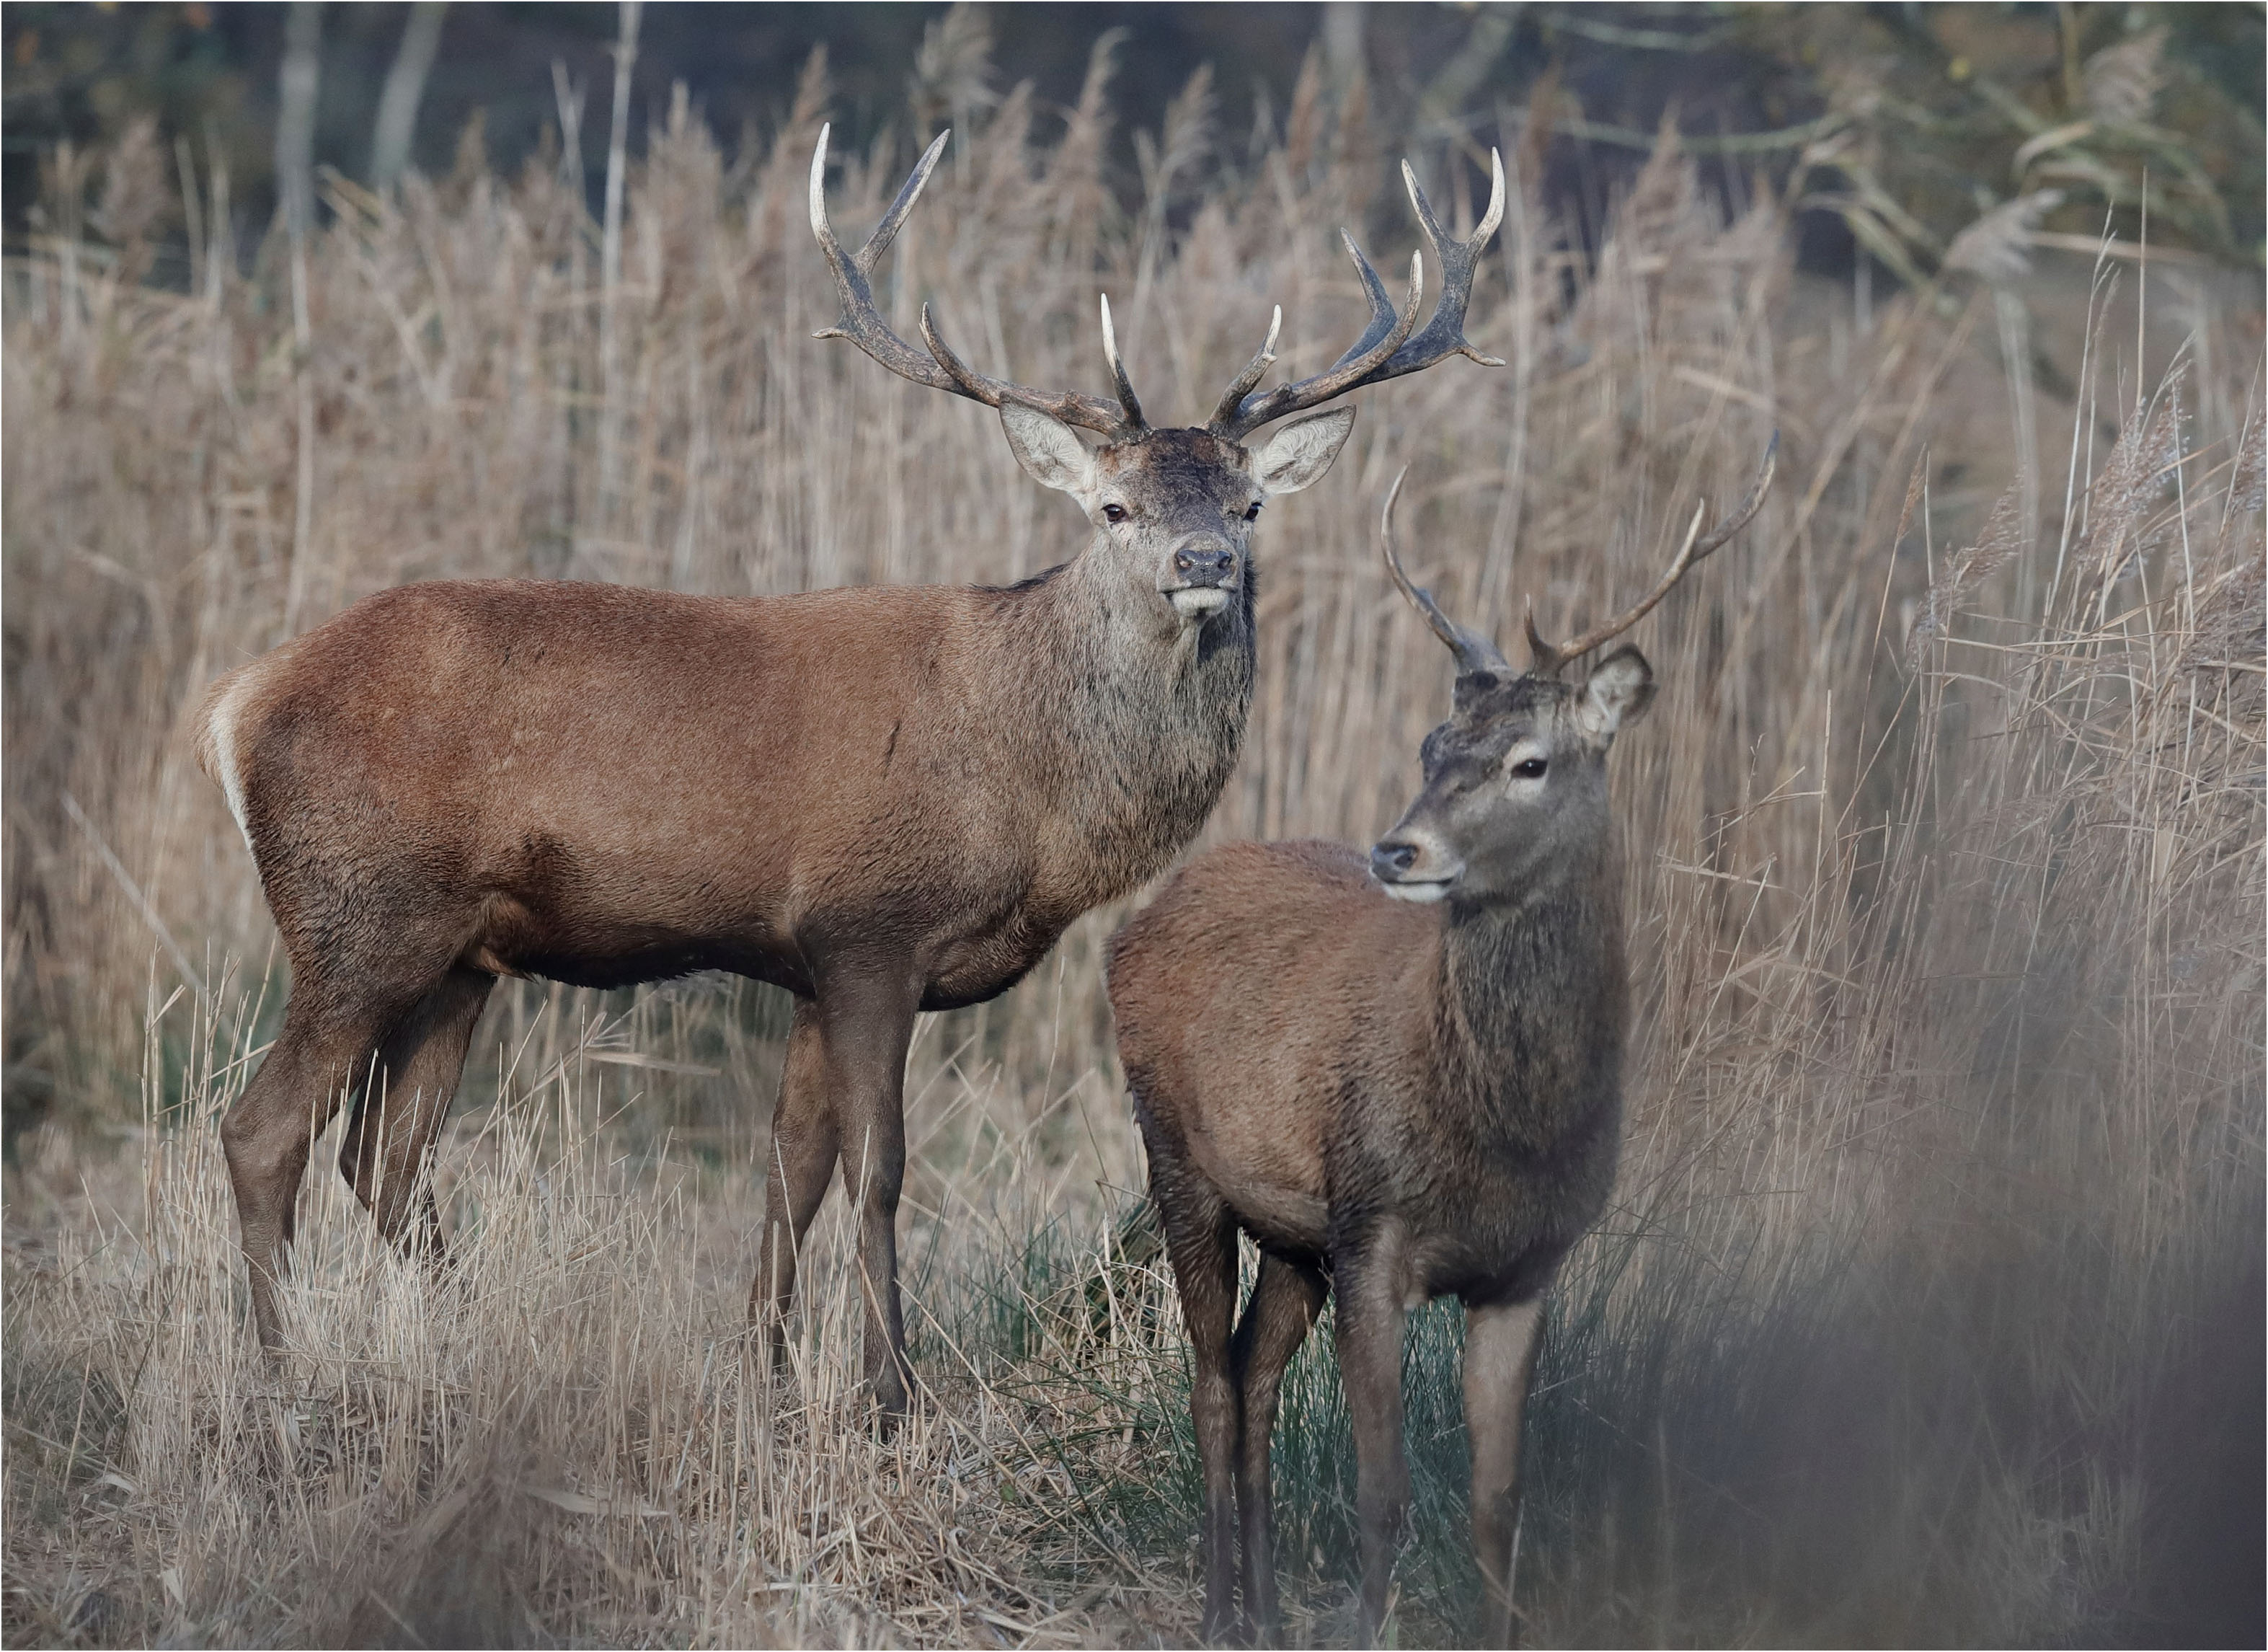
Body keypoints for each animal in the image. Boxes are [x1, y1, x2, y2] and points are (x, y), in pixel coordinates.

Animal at [191, 124, 1509, 1417]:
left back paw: (464, 1355)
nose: (1203, 562)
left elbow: (792, 1171)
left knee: (380, 1154)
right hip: (358, 908)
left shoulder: (807, 966)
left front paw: (763, 1376)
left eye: (1247, 504)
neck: (1027, 786)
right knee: (262, 1130)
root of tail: (236, 700)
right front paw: (887, 1393)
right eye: (1114, 507)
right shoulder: (870, 925)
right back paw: (278, 1378)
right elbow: (879, 1169)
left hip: (461, 952)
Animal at [1107, 443, 1776, 1643]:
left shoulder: (1525, 1265)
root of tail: (1141, 914)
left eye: (1530, 762)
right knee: (1210, 1379)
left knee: (1253, 1372)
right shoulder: (1374, 1228)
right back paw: (1223, 1608)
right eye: (1431, 743)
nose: (1398, 847)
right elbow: (1383, 1492)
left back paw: (1267, 1608)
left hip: (1294, 1225)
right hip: (1177, 1149)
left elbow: (1497, 1497)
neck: (1495, 1124)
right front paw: (1364, 1621)